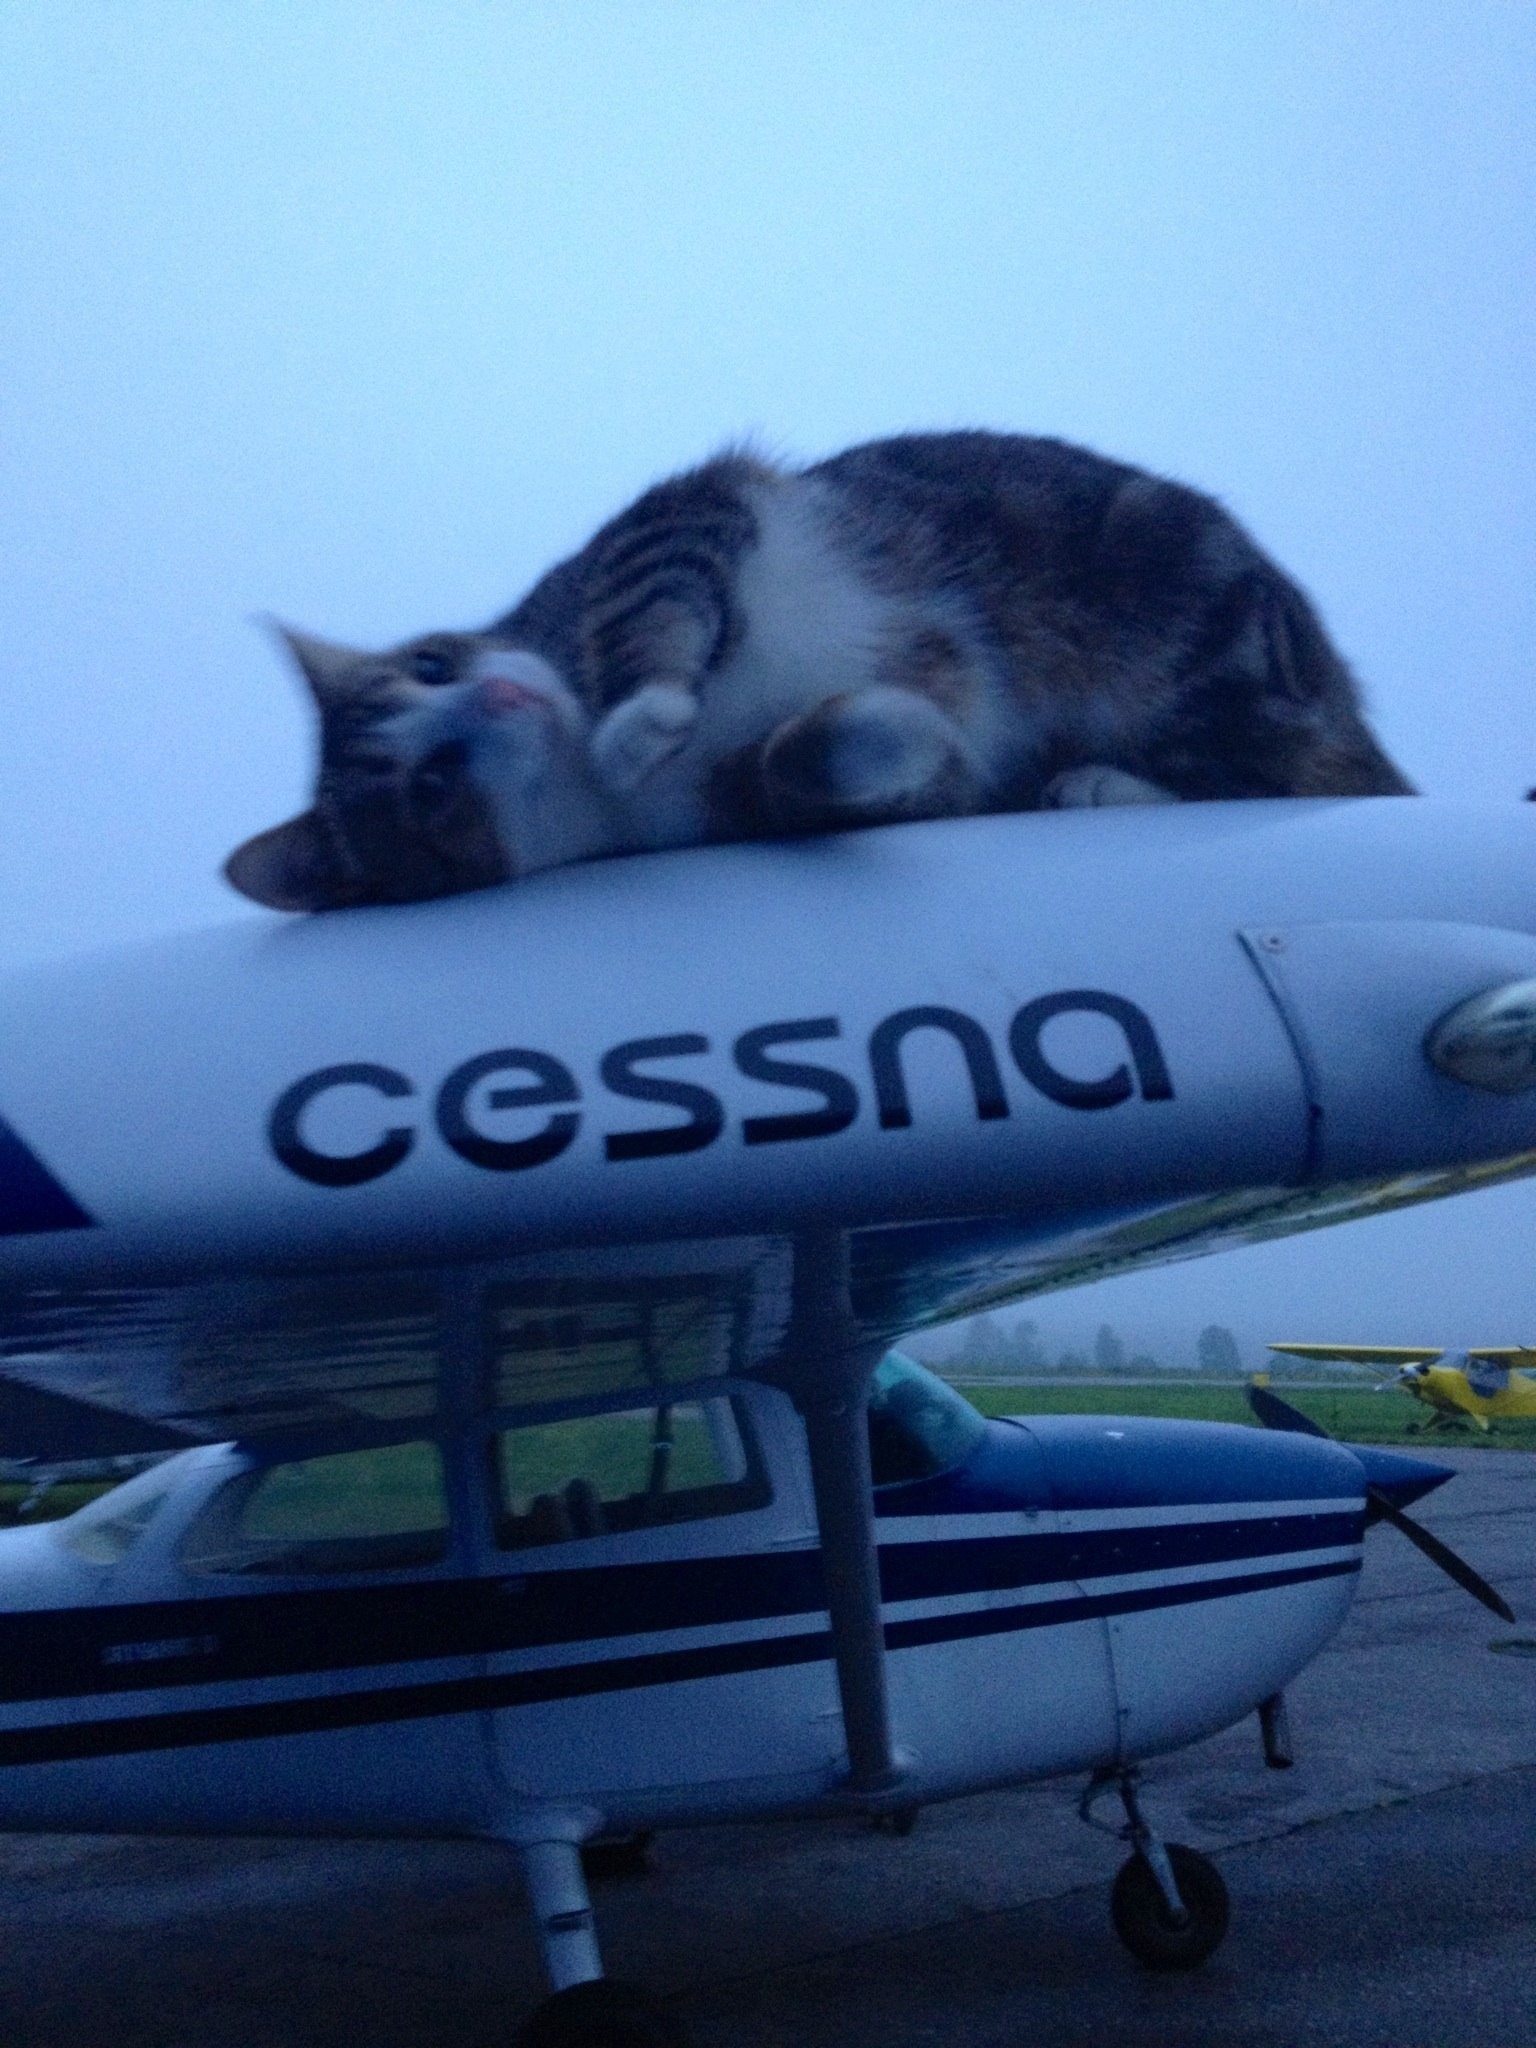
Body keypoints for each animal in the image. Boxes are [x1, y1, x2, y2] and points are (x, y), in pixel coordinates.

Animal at [225, 432, 1413, 910]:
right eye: (429, 789)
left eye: (433, 662)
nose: (502, 691)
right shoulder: (753, 807)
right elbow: (818, 764)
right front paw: (889, 725)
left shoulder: (681, 519)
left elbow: (652, 605)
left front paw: (636, 713)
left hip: (1179, 612)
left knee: (1313, 777)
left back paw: (1105, 778)